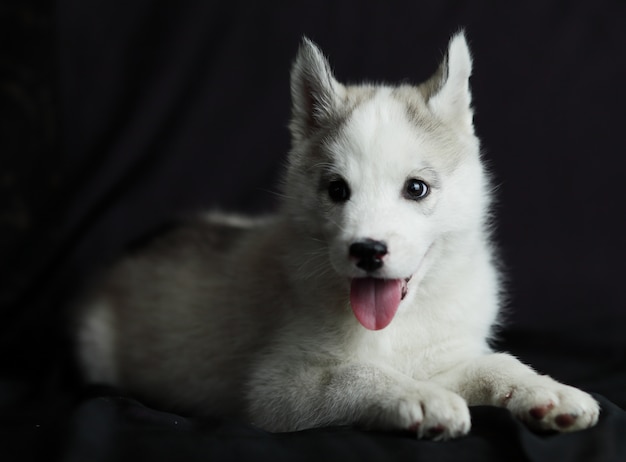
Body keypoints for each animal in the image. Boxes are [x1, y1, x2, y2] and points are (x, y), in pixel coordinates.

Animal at [75, 33, 596, 440]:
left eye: (416, 188)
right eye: (337, 190)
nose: (367, 251)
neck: (399, 325)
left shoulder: (445, 356)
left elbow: (495, 363)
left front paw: (548, 391)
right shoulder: (276, 389)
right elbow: (357, 374)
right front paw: (417, 397)